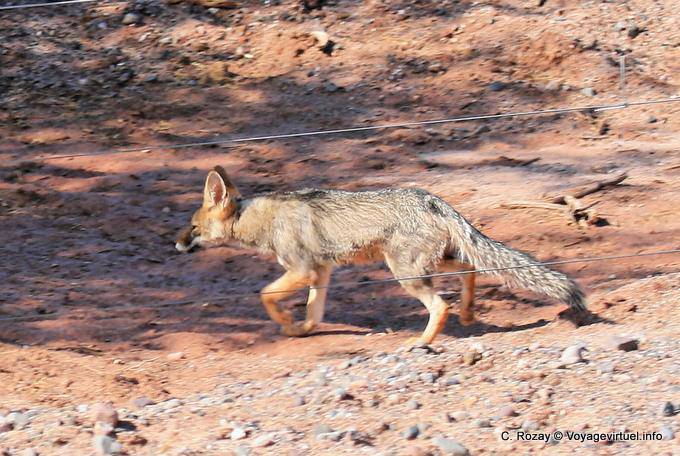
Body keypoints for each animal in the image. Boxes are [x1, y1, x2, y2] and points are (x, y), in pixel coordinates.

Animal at [175, 166, 586, 346]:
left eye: (193, 228)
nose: (175, 244)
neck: (261, 218)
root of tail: (430, 198)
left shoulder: (303, 270)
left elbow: (265, 295)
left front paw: (286, 322)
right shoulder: (321, 274)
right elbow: (314, 313)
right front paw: (299, 329)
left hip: (405, 273)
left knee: (441, 305)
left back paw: (422, 342)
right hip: (431, 262)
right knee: (470, 270)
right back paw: (469, 314)